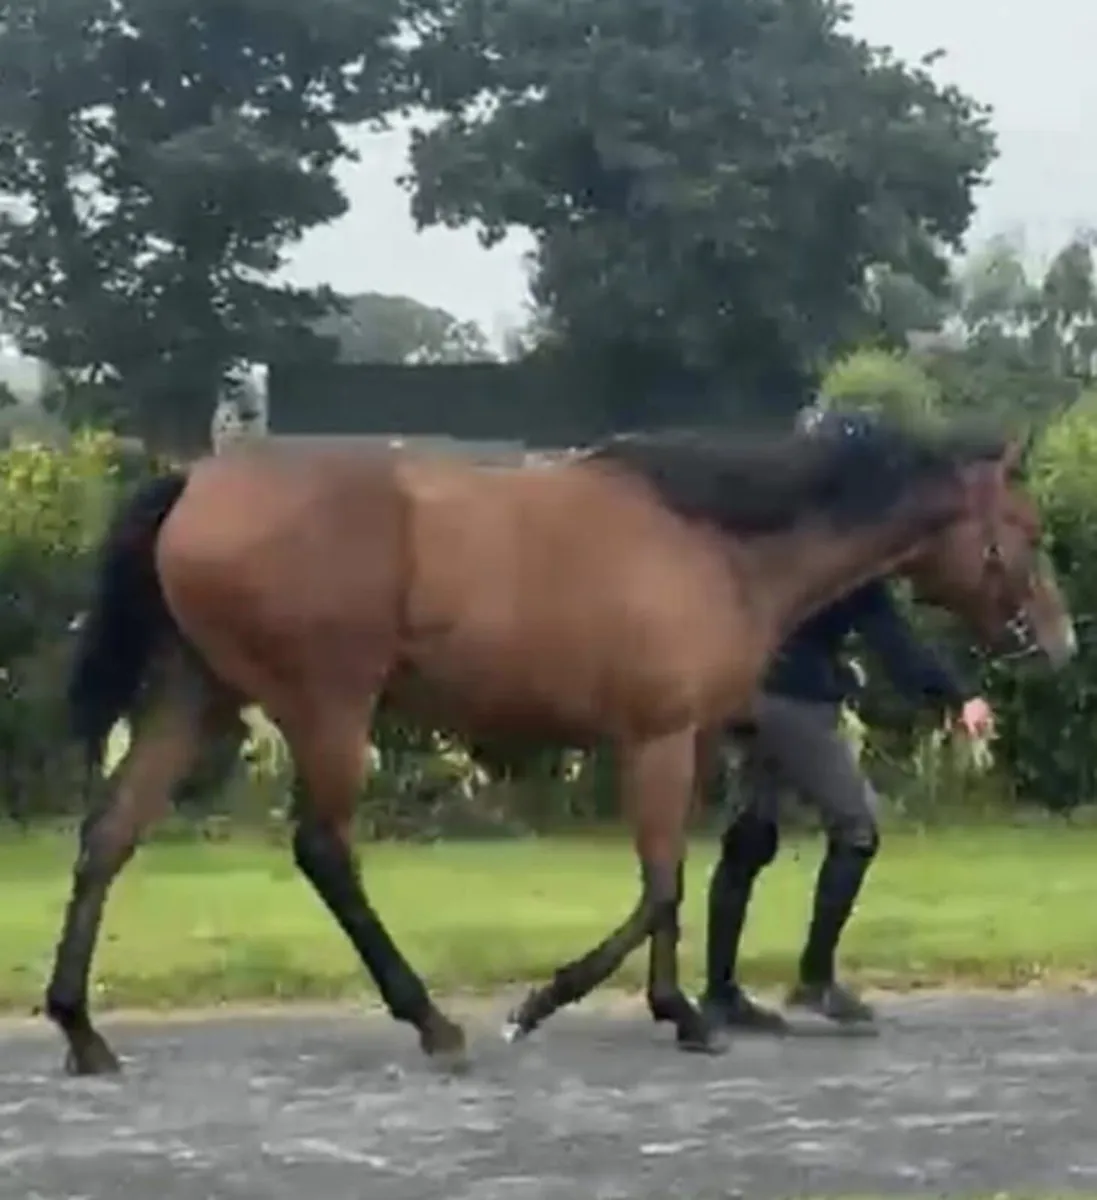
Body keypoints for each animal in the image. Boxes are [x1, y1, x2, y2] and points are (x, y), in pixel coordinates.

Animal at [45, 418, 1074, 1077]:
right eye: (1022, 531)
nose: (1058, 640)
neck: (712, 544)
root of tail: (196, 482)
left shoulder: (691, 740)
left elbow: (678, 882)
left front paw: (687, 1011)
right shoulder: (656, 739)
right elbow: (659, 887)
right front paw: (560, 1005)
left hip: (198, 695)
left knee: (109, 834)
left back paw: (81, 1031)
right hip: (327, 708)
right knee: (324, 851)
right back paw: (433, 1022)